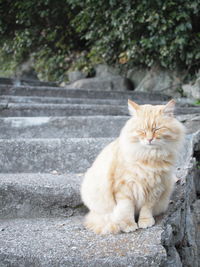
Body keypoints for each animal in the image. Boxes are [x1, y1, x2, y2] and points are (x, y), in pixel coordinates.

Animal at [80, 100, 185, 234]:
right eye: (142, 130)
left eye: (157, 129)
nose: (149, 139)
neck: (149, 157)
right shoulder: (124, 188)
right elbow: (126, 209)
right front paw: (128, 225)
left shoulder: (155, 188)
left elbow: (146, 208)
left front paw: (145, 222)